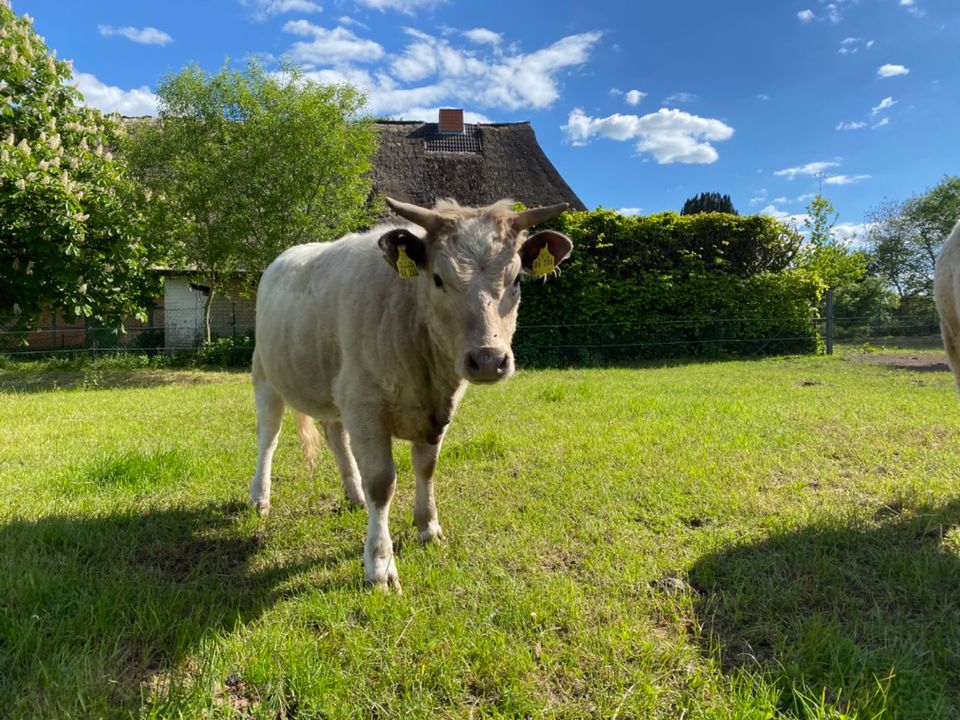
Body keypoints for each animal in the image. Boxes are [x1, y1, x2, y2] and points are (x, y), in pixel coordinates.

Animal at [251, 195, 572, 592]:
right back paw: (260, 497)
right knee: (269, 437)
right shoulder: (365, 404)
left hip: (333, 387)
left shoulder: (433, 410)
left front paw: (428, 528)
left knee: (335, 436)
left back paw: (353, 495)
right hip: (266, 375)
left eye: (516, 280)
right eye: (437, 278)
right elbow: (381, 482)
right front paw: (379, 564)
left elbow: (426, 467)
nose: (488, 359)